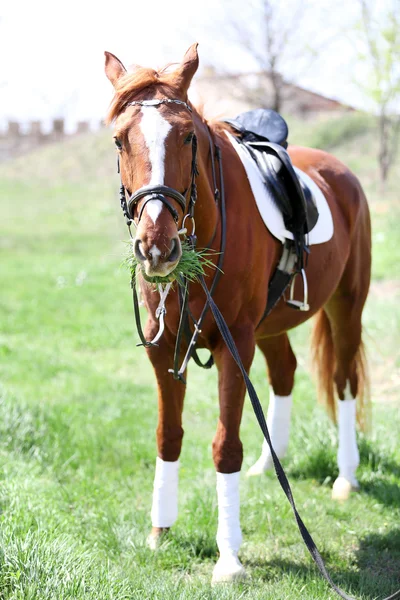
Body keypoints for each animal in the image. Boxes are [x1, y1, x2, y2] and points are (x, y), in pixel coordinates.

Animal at [104, 44, 372, 584]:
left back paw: (346, 477)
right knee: (286, 372)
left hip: (346, 308)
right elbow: (168, 435)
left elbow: (225, 444)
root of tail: (340, 171)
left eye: (187, 136)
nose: (156, 246)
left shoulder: (235, 346)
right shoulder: (164, 350)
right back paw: (271, 465)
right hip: (270, 326)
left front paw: (229, 557)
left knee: (343, 381)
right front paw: (159, 530)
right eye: (120, 140)